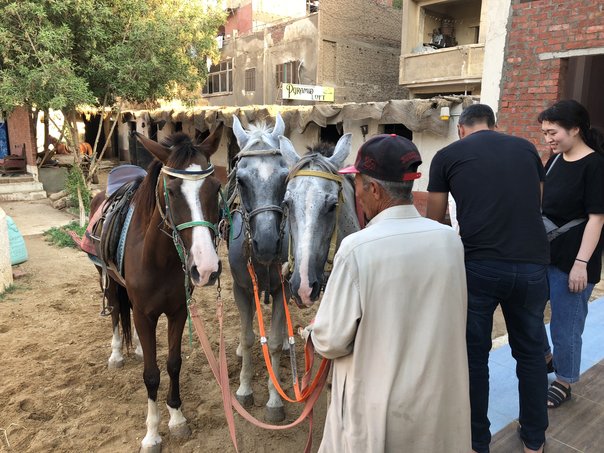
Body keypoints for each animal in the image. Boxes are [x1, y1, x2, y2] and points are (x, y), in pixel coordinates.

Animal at [88, 127, 224, 452]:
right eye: (171, 191)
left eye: (215, 188)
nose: (206, 268)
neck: (159, 259)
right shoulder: (145, 315)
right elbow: (151, 375)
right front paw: (152, 434)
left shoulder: (178, 312)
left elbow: (173, 364)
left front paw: (176, 418)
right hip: (108, 281)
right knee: (116, 314)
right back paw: (117, 354)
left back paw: (137, 348)